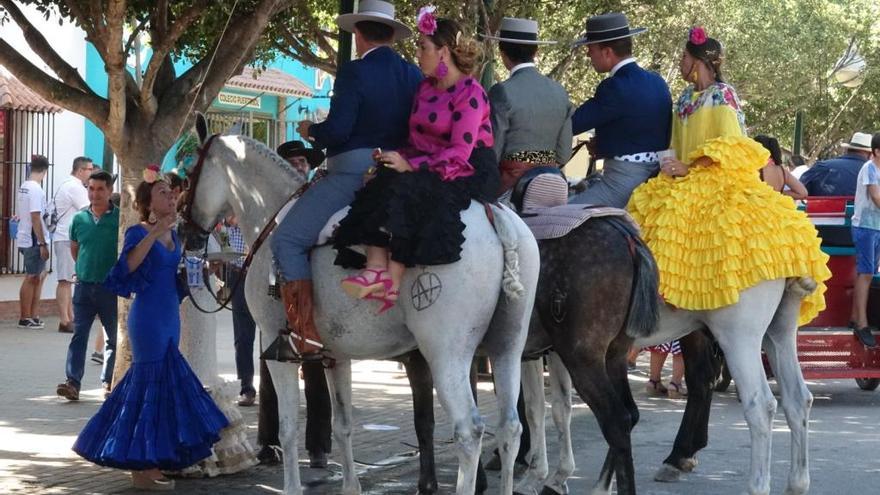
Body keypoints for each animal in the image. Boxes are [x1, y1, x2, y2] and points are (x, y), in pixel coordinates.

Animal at [179, 117, 540, 495]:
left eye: (190, 173)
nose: (186, 232)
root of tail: (493, 215)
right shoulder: (335, 355)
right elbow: (343, 424)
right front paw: (351, 486)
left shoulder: (275, 350)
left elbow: (288, 428)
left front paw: (292, 486)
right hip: (507, 346)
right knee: (510, 427)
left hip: (445, 353)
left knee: (469, 432)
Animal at [516, 280, 820, 495]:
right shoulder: (555, 346)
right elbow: (548, 408)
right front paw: (546, 473)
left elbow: (534, 408)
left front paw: (535, 473)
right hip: (777, 330)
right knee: (796, 399)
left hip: (738, 334)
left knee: (758, 405)